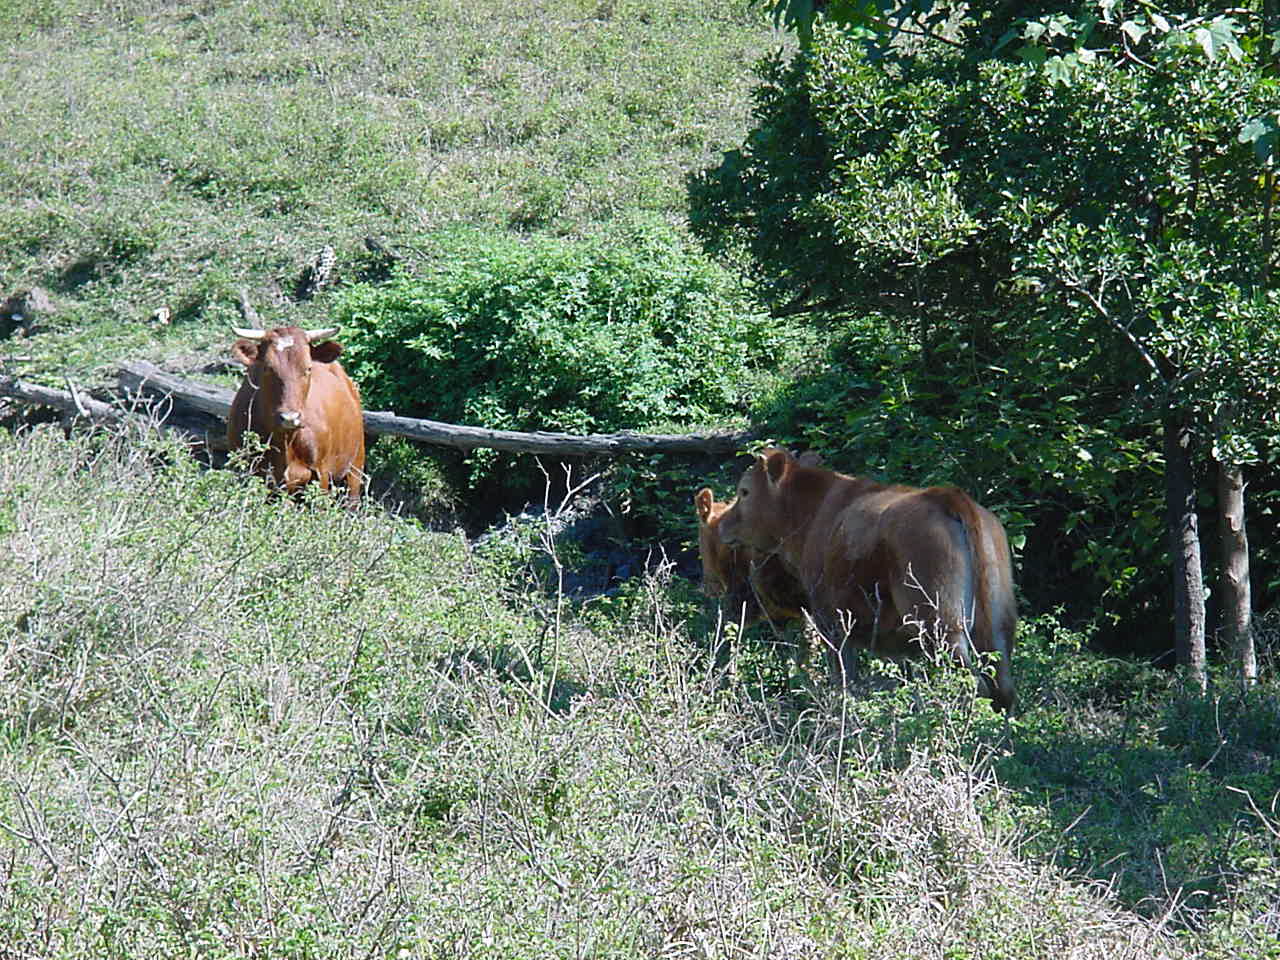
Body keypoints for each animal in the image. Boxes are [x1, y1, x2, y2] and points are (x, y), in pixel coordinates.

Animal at [727, 450, 1013, 706]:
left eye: (744, 491)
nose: (723, 526)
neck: (808, 517)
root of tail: (950, 497)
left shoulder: (832, 622)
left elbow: (843, 680)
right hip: (997, 627)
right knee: (1003, 689)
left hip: (941, 625)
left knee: (975, 684)